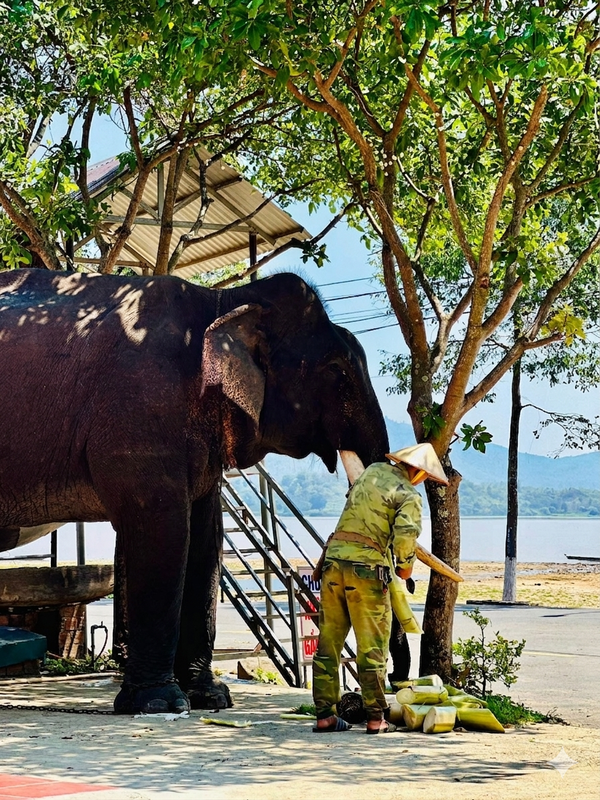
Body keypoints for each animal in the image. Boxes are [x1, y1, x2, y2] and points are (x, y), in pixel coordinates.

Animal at [0, 268, 389, 714]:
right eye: (336, 369)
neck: (222, 301)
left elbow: (207, 541)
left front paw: (212, 697)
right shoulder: (141, 414)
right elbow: (164, 534)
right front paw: (160, 703)